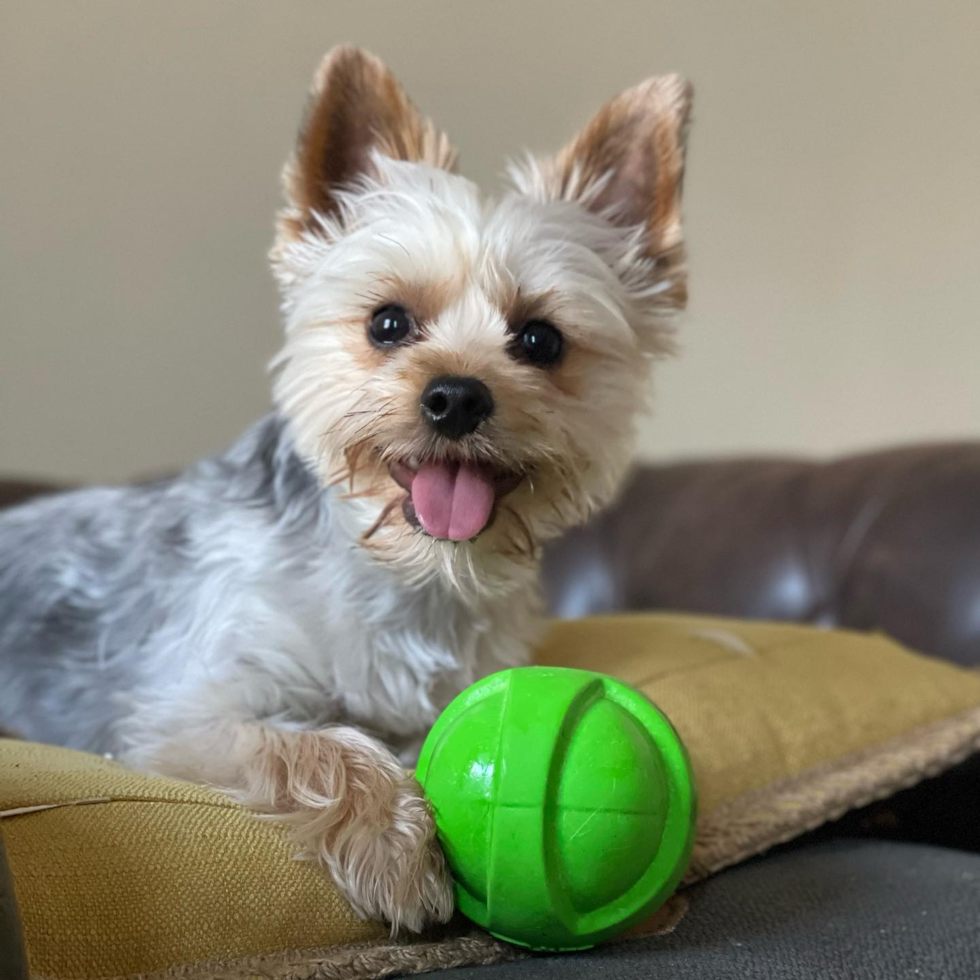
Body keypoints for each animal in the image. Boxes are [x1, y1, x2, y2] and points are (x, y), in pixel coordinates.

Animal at [0, 46, 688, 936]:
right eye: (388, 323)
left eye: (541, 340)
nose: (456, 397)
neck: (408, 573)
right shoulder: (184, 715)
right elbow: (315, 742)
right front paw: (395, 844)